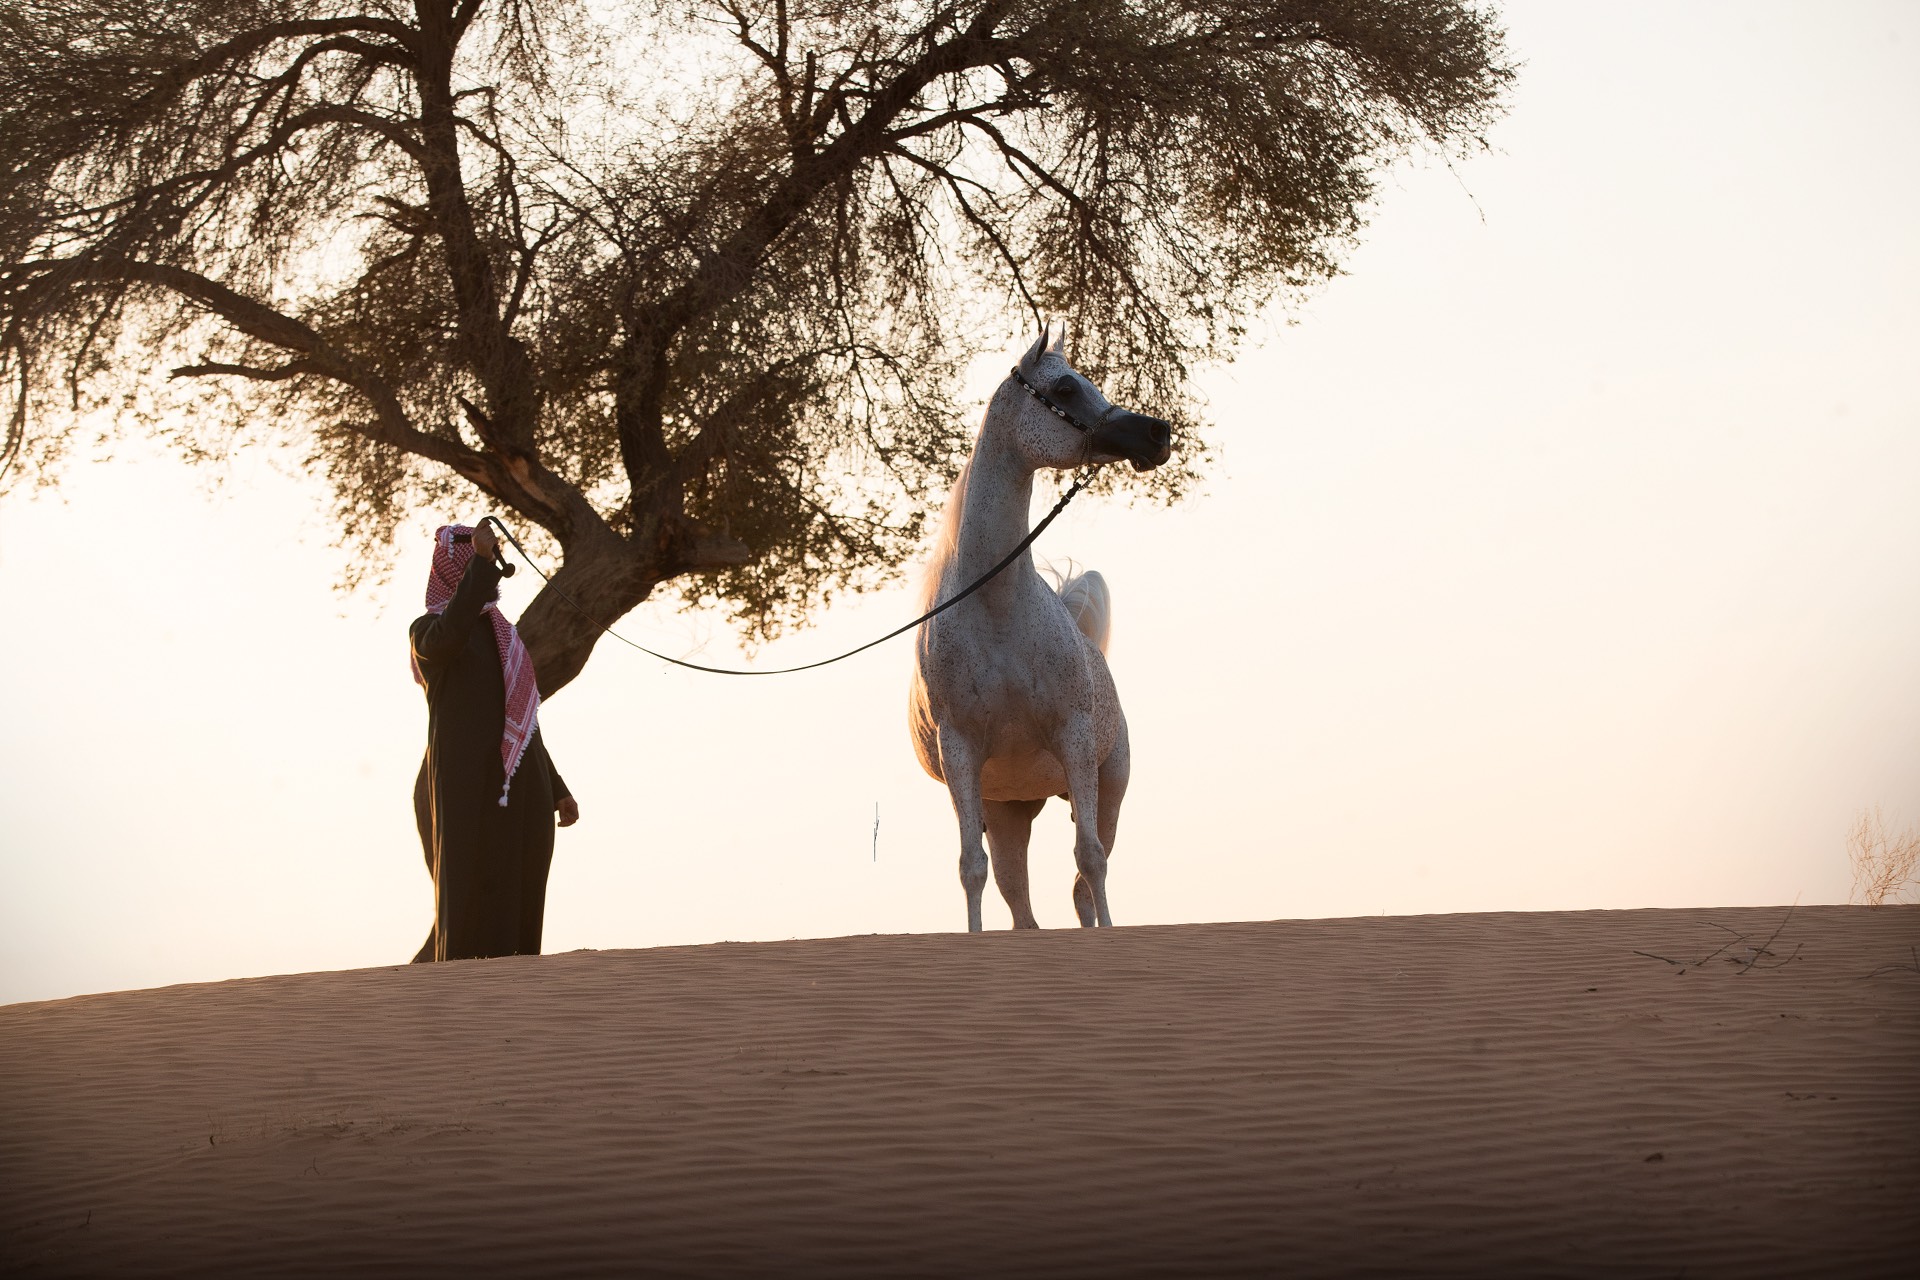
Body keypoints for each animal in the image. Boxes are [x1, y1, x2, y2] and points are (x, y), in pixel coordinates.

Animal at [908, 327, 1172, 931]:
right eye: (1065, 387)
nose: (1157, 432)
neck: (998, 610)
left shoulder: (1073, 739)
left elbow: (1091, 860)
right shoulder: (962, 755)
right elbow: (972, 868)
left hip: (1106, 788)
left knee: (1083, 881)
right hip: (1009, 811)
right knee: (1021, 904)